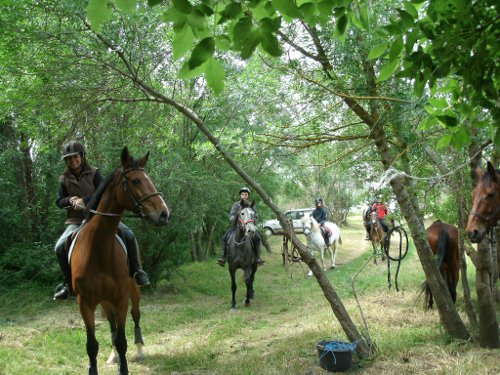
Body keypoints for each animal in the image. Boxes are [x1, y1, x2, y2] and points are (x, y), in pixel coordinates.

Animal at [70, 149, 170, 375]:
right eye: (136, 181)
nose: (164, 214)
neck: (98, 250)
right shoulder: (85, 303)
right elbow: (92, 345)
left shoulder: (121, 298)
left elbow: (123, 339)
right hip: (105, 301)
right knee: (112, 324)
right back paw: (113, 355)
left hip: (133, 291)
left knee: (136, 316)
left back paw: (140, 351)